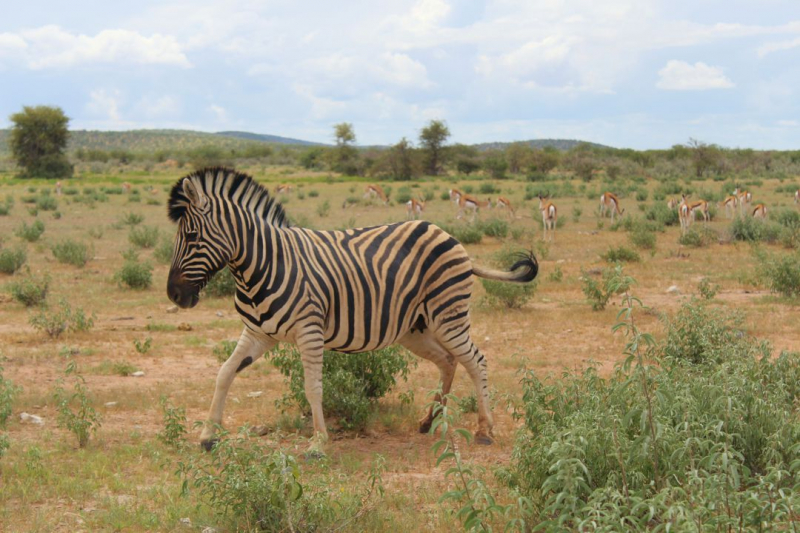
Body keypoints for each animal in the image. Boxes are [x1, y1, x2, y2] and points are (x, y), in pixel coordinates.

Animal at [165, 168, 536, 450]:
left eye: (193, 236)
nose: (174, 294)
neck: (265, 264)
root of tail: (448, 235)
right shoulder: (257, 332)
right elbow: (224, 373)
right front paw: (208, 435)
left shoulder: (309, 331)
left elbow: (312, 387)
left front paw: (318, 442)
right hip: (414, 328)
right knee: (448, 361)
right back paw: (428, 420)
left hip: (449, 318)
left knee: (476, 361)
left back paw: (484, 429)